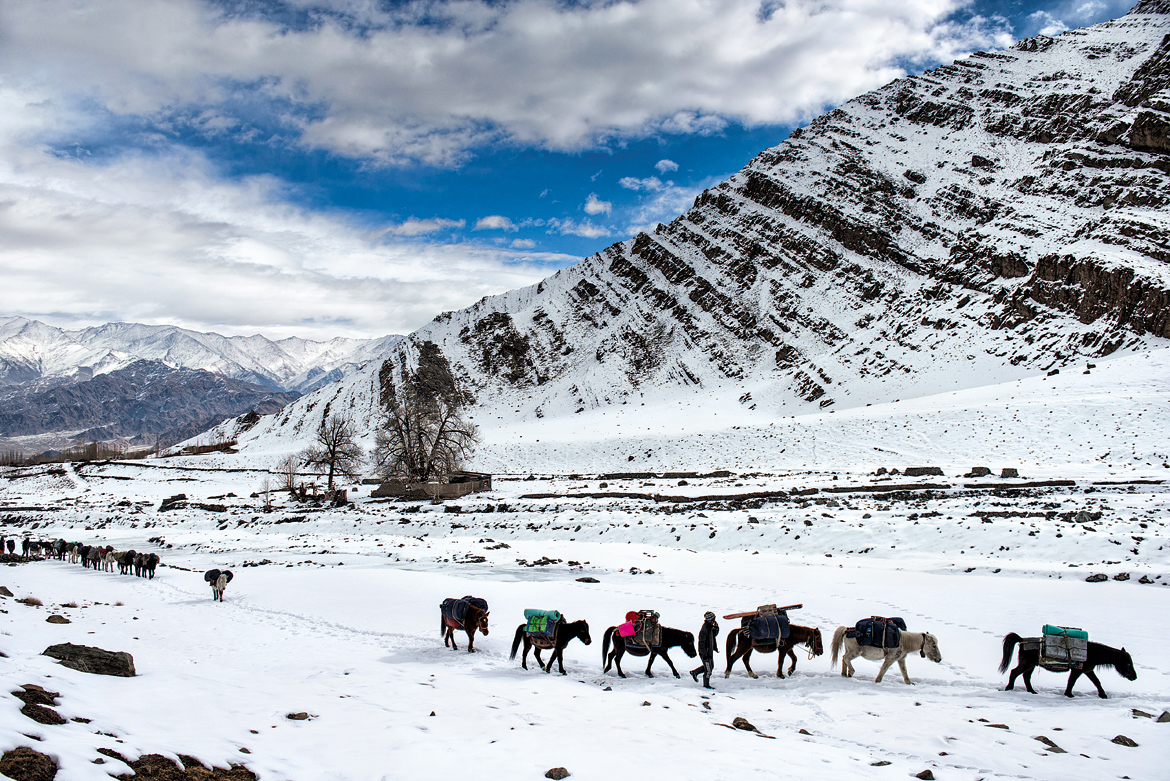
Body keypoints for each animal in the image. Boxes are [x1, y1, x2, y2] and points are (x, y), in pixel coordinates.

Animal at [1001, 631, 1137, 696]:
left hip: (1031, 665)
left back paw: (1032, 691)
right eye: (1128, 664)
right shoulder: (1078, 670)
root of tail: (1022, 640)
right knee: (1015, 673)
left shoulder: (1088, 670)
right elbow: (1072, 681)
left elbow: (1096, 682)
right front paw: (1069, 694)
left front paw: (1103, 695)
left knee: (1026, 676)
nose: (1134, 676)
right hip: (1027, 664)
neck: (1092, 653)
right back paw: (1009, 688)